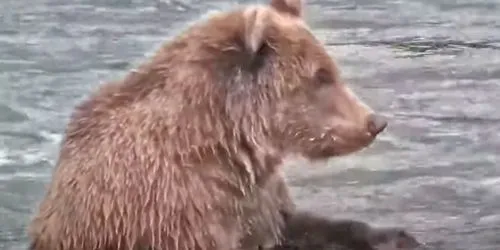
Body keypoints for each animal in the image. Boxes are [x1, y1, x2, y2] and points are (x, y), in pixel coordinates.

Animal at [26, 0, 386, 249]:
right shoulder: (173, 212)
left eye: (331, 69)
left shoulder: (256, 200)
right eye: (320, 76)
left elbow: (299, 225)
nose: (375, 121)